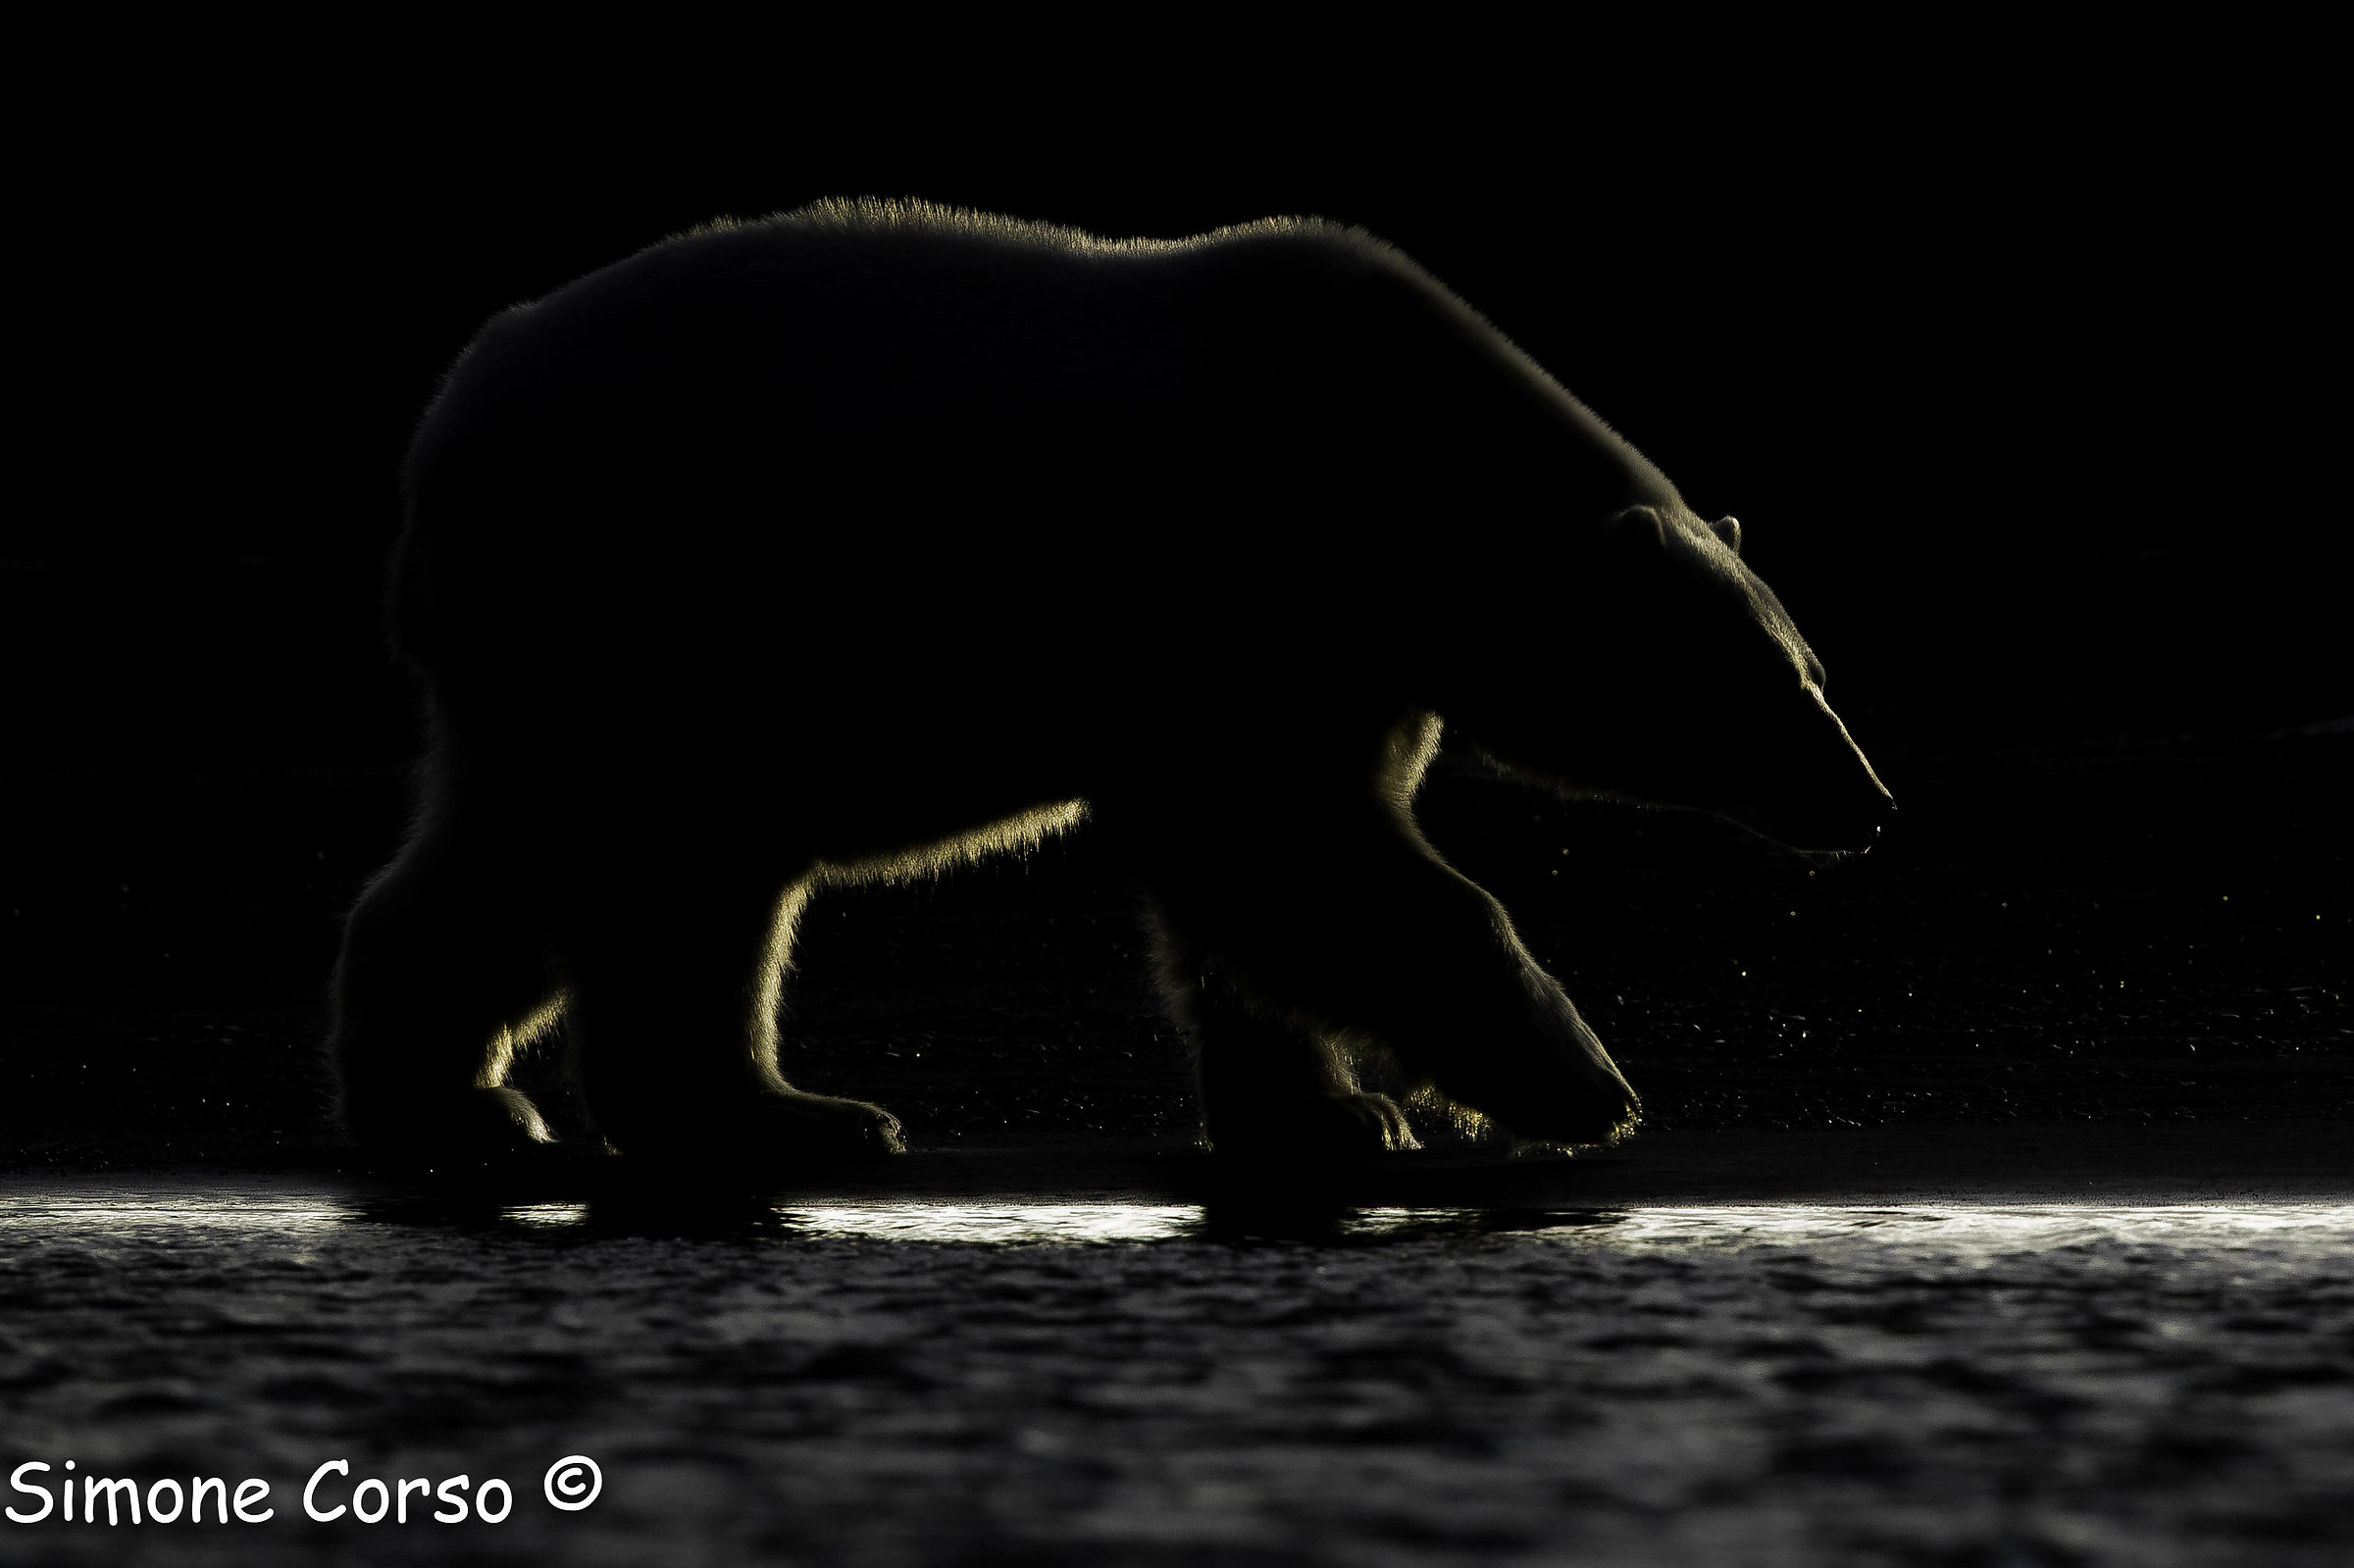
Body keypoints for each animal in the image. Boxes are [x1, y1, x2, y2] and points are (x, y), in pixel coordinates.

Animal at [329, 198, 1894, 1170]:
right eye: (1768, 682)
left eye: (1812, 665)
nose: (1868, 799)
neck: (1404, 471)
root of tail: (443, 431)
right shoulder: (1242, 583)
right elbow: (1300, 849)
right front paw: (1580, 1083)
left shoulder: (1348, 655)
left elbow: (1269, 881)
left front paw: (1331, 1116)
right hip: (657, 607)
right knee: (667, 879)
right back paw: (775, 1114)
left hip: (593, 667)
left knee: (517, 867)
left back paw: (460, 1103)